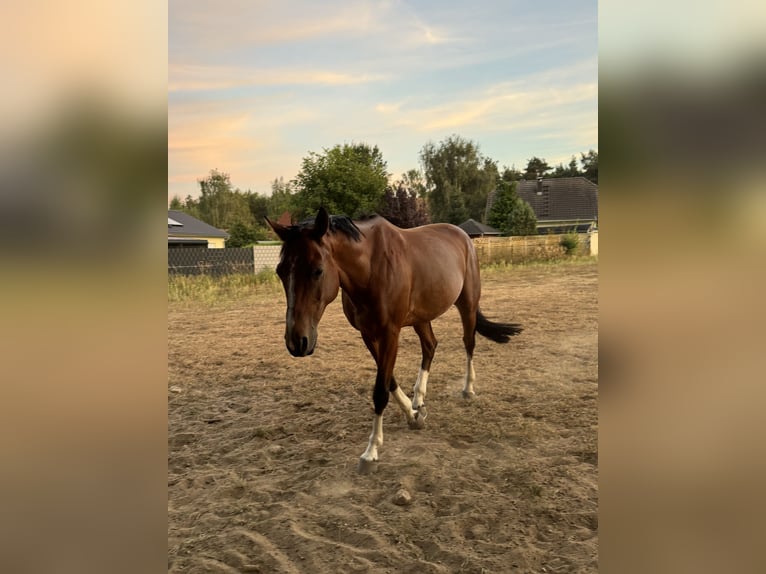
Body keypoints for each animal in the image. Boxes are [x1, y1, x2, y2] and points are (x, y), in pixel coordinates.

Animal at [266, 209, 520, 474]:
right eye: (281, 271)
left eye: (317, 270)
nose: (297, 341)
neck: (370, 269)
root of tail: (462, 235)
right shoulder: (368, 334)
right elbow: (389, 380)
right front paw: (413, 415)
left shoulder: (390, 333)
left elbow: (380, 390)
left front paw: (371, 451)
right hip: (421, 317)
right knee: (430, 346)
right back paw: (419, 399)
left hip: (467, 304)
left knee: (468, 343)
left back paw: (468, 388)